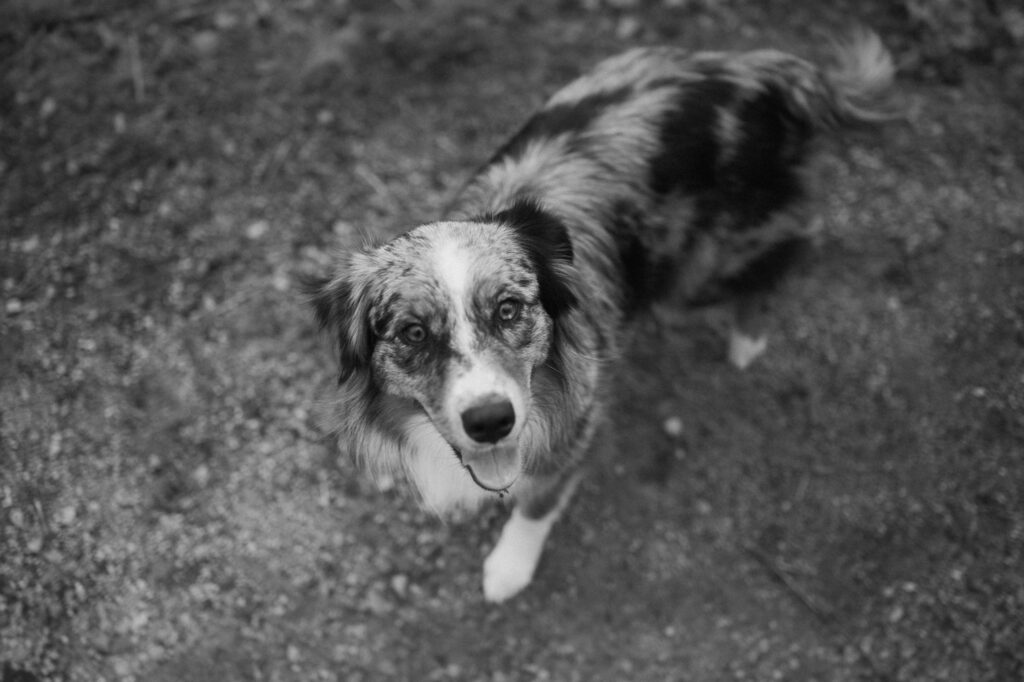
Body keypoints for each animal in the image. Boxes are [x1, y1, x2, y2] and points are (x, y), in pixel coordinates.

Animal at [305, 31, 897, 602]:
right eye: (413, 333)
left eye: (509, 309)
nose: (492, 421)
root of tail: (760, 67)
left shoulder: (578, 424)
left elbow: (538, 502)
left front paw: (510, 567)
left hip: (700, 270)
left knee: (788, 251)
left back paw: (748, 338)